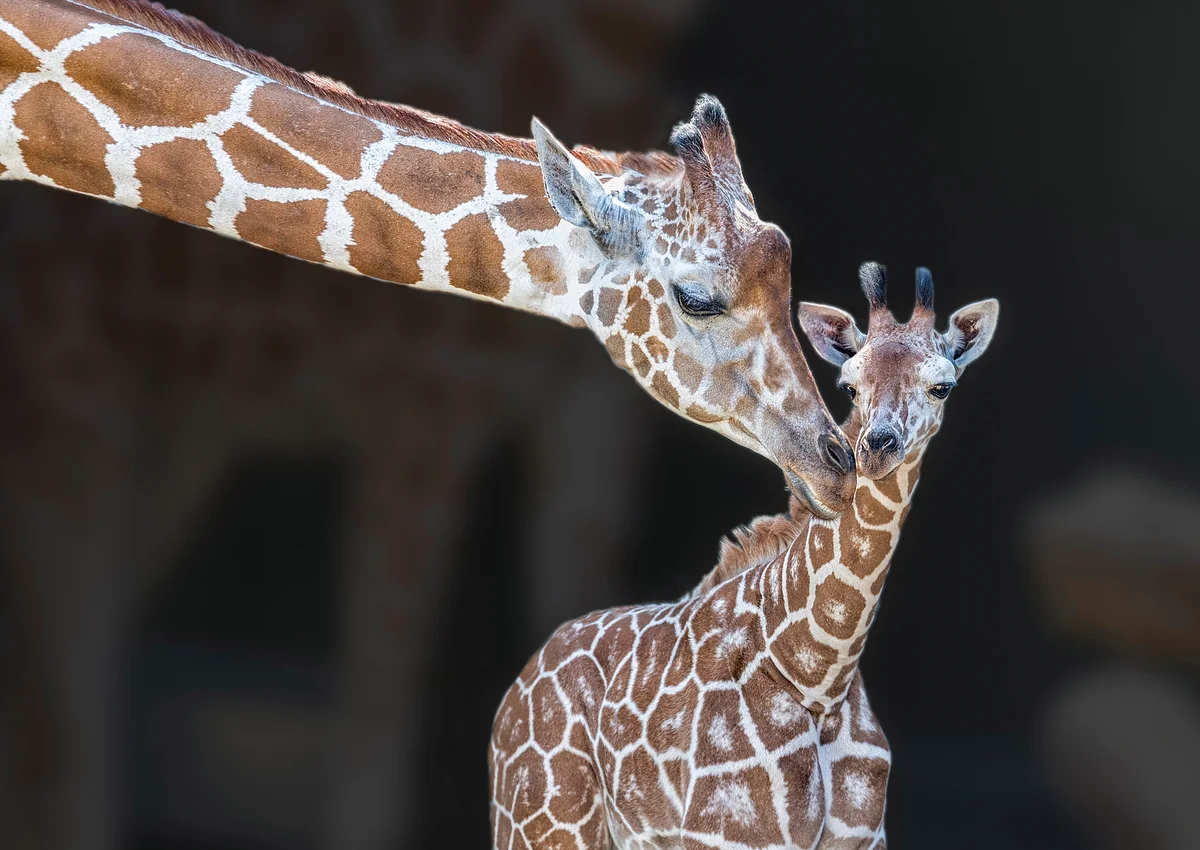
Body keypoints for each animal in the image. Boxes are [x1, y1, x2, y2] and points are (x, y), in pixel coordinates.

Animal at [489, 263, 1000, 849]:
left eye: (942, 386)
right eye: (849, 385)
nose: (877, 446)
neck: (818, 674)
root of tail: (512, 696)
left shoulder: (864, 838)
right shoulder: (730, 835)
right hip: (542, 827)